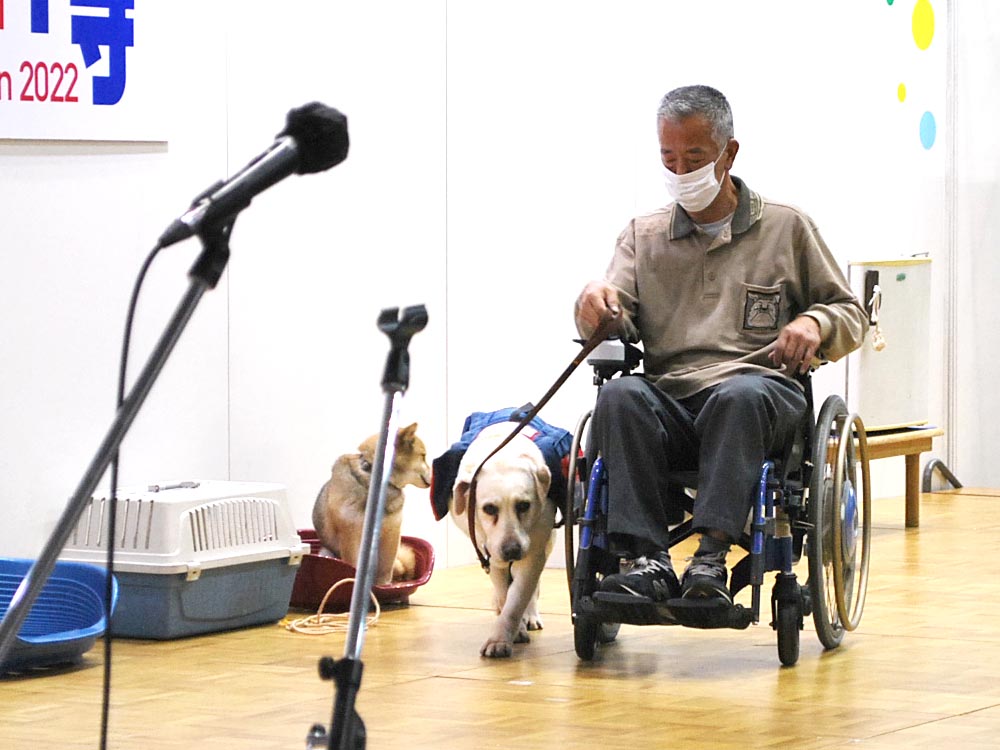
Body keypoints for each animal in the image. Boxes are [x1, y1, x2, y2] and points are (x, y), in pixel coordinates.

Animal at [312, 426, 430, 584]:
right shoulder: (350, 536)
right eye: (423, 456)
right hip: (327, 552)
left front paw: (383, 587)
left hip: (398, 562)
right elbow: (353, 567)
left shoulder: (392, 534)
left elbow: (385, 573)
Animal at [452, 426, 560, 660]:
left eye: (524, 505)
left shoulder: (533, 555)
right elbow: (504, 595)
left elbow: (517, 600)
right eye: (489, 509)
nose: (512, 550)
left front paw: (501, 639)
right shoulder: (491, 556)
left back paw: (530, 616)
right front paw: (512, 630)